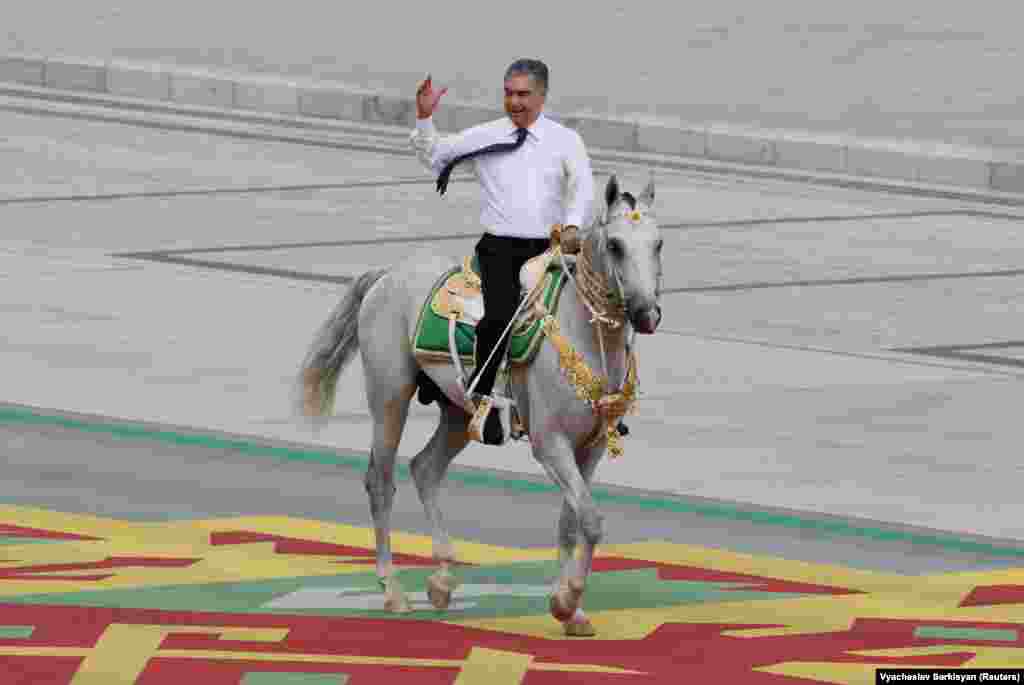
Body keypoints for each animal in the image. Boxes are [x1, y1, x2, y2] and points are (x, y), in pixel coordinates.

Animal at [296, 175, 663, 634]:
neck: (583, 336)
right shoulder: (551, 444)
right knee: (380, 481)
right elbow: (591, 522)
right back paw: (394, 591)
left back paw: (442, 580)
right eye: (614, 245)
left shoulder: (590, 448)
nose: (647, 314)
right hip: (389, 399)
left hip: (459, 413)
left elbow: (573, 521)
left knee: (425, 468)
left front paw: (570, 609)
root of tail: (389, 275)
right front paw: (566, 601)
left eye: (658, 244)